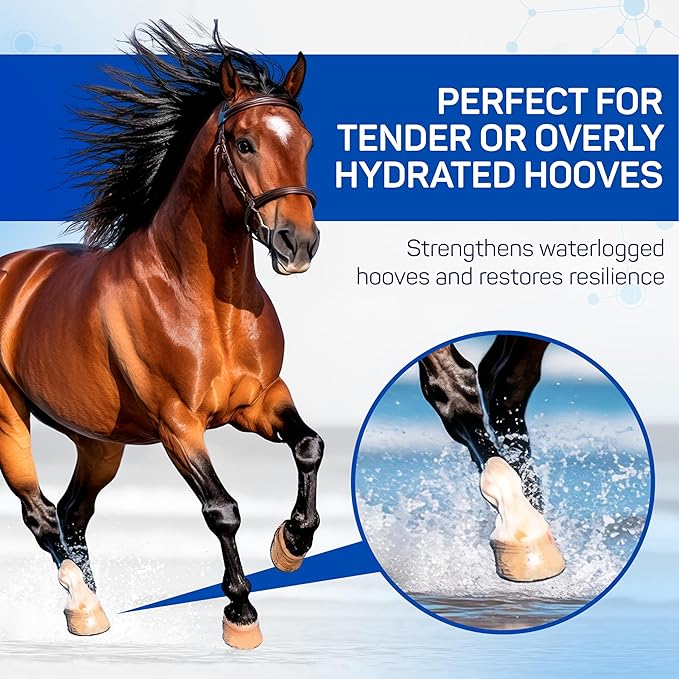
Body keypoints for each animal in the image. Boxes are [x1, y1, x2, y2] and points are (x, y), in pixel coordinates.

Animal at [0, 21, 322, 650]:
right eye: (244, 144)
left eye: (306, 141)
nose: (297, 243)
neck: (205, 304)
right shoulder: (179, 423)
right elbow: (222, 509)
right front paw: (241, 615)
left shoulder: (259, 401)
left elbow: (309, 446)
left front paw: (292, 543)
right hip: (9, 421)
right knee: (42, 515)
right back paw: (82, 605)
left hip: (100, 442)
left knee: (73, 513)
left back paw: (93, 609)